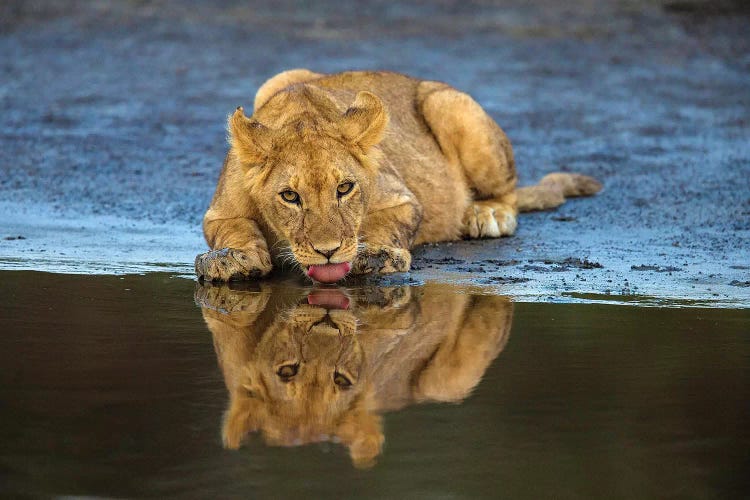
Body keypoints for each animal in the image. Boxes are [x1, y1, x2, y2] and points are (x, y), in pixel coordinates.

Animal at [197, 69, 604, 284]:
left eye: (344, 188)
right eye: (290, 197)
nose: (328, 252)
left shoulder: (402, 199)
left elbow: (384, 225)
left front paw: (377, 255)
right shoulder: (219, 212)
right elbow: (234, 228)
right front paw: (231, 258)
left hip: (449, 105)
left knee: (509, 194)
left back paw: (487, 213)